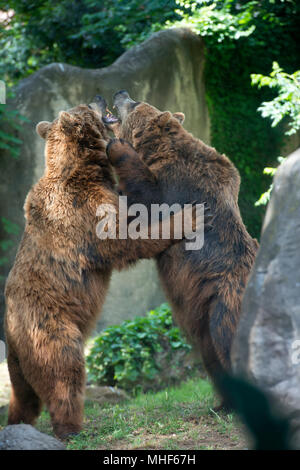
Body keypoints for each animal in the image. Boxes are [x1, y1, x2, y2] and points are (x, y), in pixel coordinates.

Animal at [3, 98, 191, 436]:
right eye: (86, 105)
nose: (99, 98)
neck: (83, 170)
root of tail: (11, 335)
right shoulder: (82, 212)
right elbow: (123, 239)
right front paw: (185, 218)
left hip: (18, 365)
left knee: (24, 399)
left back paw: (19, 423)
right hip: (50, 326)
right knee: (64, 372)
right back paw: (72, 426)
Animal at [106, 89, 260, 396]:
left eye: (135, 102)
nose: (121, 92)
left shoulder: (179, 185)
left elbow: (147, 204)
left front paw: (117, 146)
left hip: (224, 305)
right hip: (202, 310)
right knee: (209, 352)